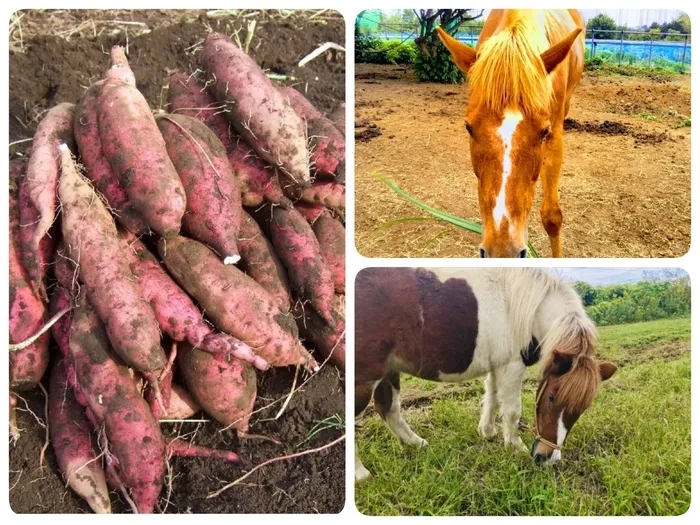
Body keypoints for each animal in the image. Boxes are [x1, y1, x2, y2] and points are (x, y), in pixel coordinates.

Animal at [358, 268, 616, 482]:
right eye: (551, 397)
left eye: (581, 409)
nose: (547, 458)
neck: (524, 307)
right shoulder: (512, 366)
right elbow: (512, 411)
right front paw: (515, 446)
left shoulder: (497, 365)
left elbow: (492, 398)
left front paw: (488, 432)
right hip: (365, 377)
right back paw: (360, 474)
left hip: (389, 370)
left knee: (389, 409)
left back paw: (416, 443)